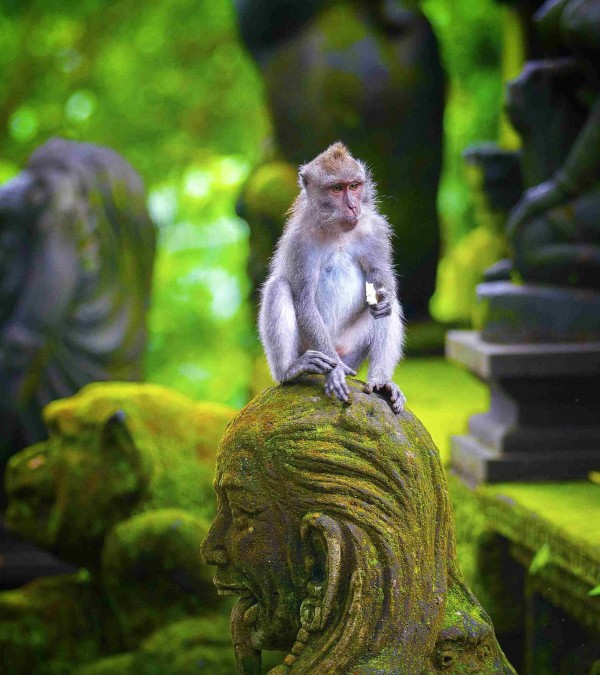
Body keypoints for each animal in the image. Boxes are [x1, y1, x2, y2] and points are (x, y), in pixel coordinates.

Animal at [258, 141, 406, 413]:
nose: (353, 207)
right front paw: (334, 373)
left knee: (391, 307)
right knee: (278, 286)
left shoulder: (375, 231)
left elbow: (381, 279)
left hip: (352, 351)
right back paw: (290, 370)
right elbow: (304, 299)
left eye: (354, 186)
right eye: (337, 188)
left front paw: (384, 298)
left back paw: (381, 381)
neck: (337, 230)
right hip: (311, 348)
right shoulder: (299, 242)